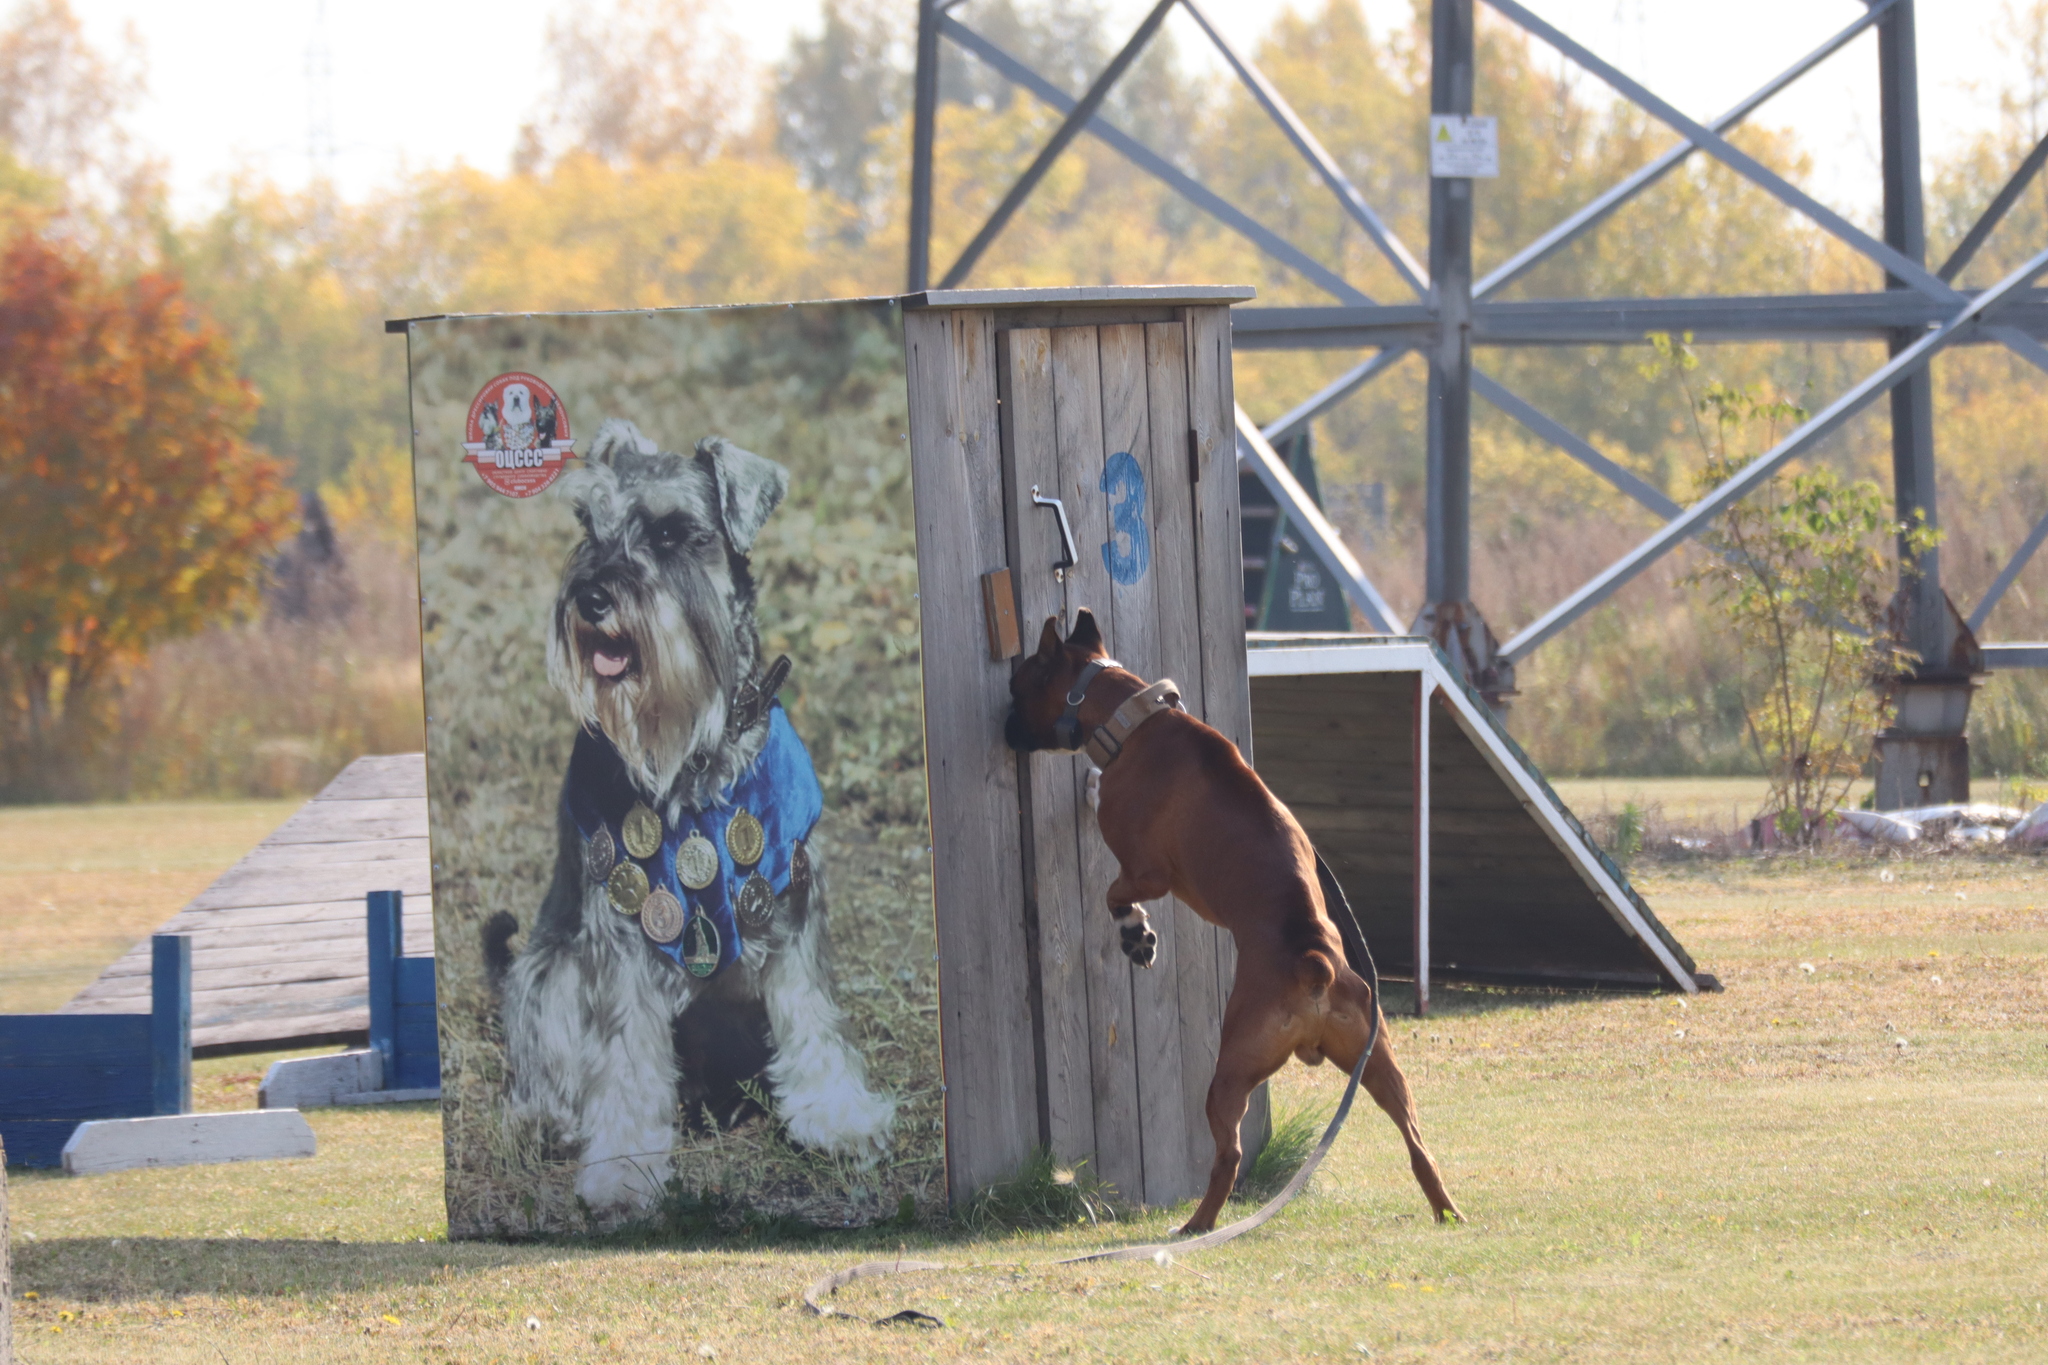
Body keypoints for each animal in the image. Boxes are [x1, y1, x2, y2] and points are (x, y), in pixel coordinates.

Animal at [1003, 609, 1458, 1236]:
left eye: (1016, 688)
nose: (1002, 726)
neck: (1135, 719)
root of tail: (1314, 962)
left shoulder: (1147, 873)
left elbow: (1116, 894)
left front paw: (1136, 936)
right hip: (1379, 1063)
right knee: (1416, 1140)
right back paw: (1446, 1209)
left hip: (1230, 1074)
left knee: (1230, 1155)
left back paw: (1197, 1224)